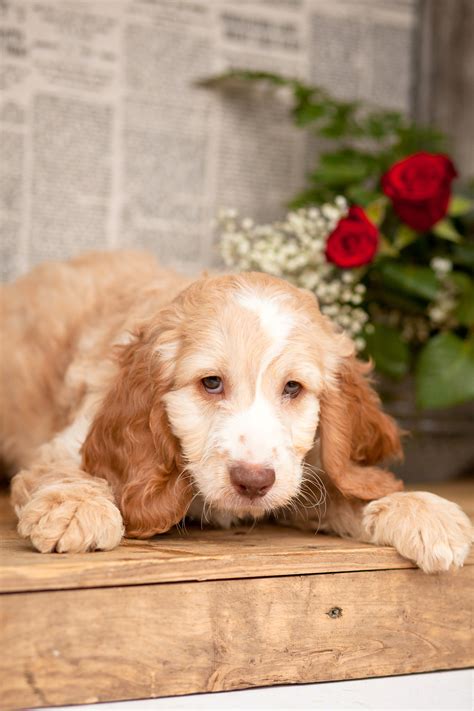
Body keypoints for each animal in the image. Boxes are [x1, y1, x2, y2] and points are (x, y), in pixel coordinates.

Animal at [1, 252, 472, 572]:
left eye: (292, 388)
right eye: (211, 383)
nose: (253, 482)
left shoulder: (300, 473)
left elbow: (346, 488)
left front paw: (421, 510)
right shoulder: (69, 442)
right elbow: (63, 470)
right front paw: (75, 508)